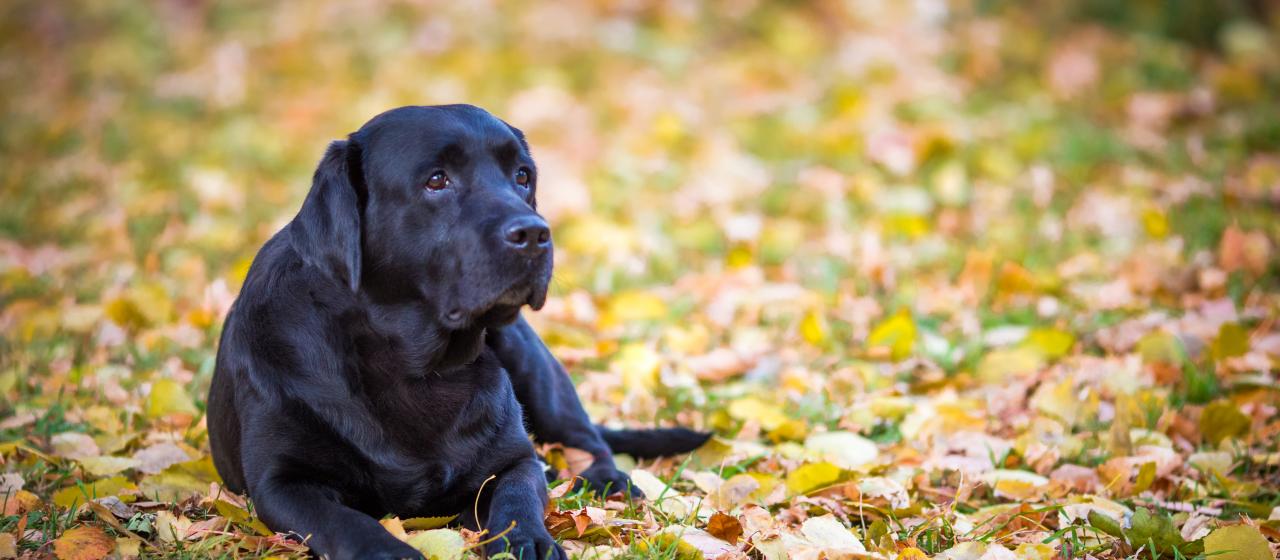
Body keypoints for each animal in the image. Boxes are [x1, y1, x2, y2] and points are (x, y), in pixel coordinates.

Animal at [209, 106, 711, 560]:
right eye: (437, 180)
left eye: (522, 176)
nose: (535, 234)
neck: (412, 367)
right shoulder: (281, 482)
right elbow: (341, 520)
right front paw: (388, 552)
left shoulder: (514, 458)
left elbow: (518, 493)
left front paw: (528, 541)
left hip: (533, 366)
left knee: (588, 439)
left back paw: (607, 478)